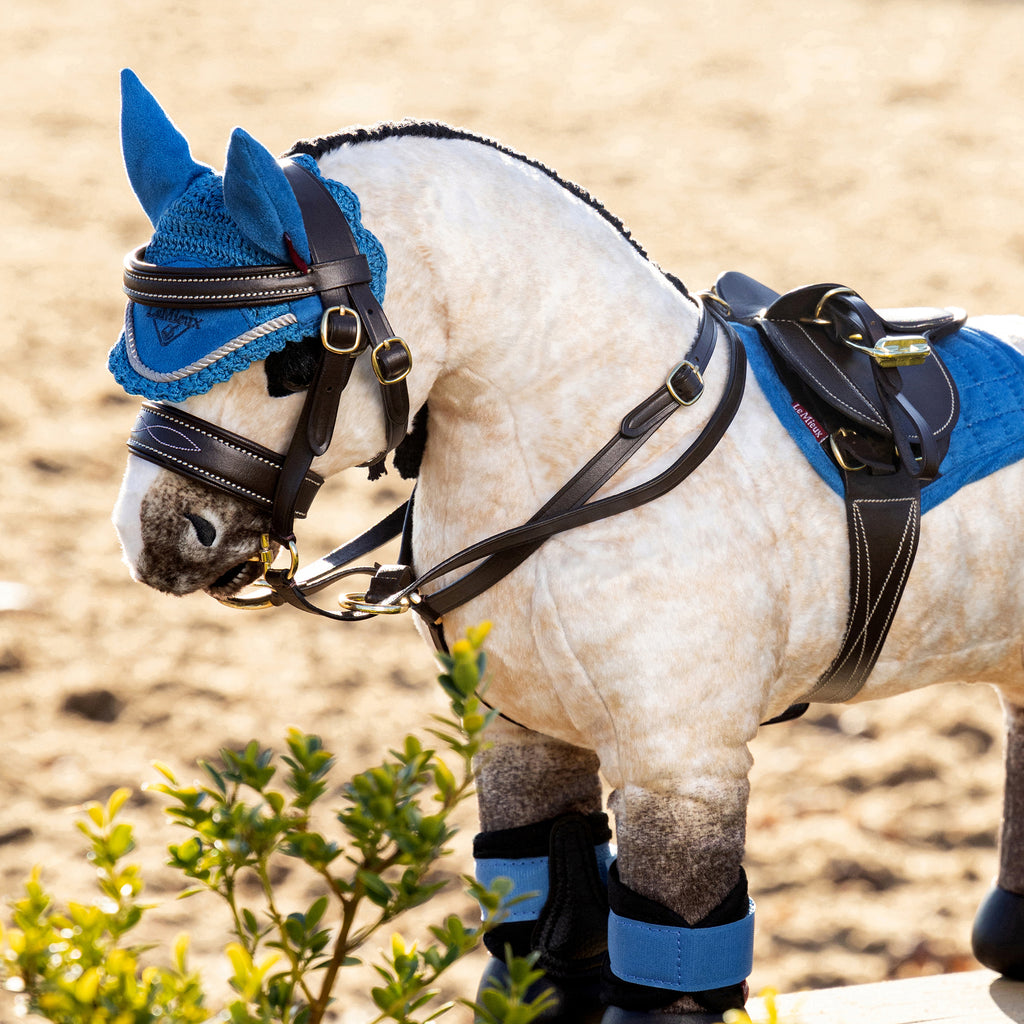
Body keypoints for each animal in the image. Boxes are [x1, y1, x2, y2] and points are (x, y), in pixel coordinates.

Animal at [110, 68, 1024, 1022]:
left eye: (291, 359)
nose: (156, 537)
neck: (593, 449)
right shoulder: (521, 731)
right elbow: (543, 910)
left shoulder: (681, 765)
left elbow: (670, 959)